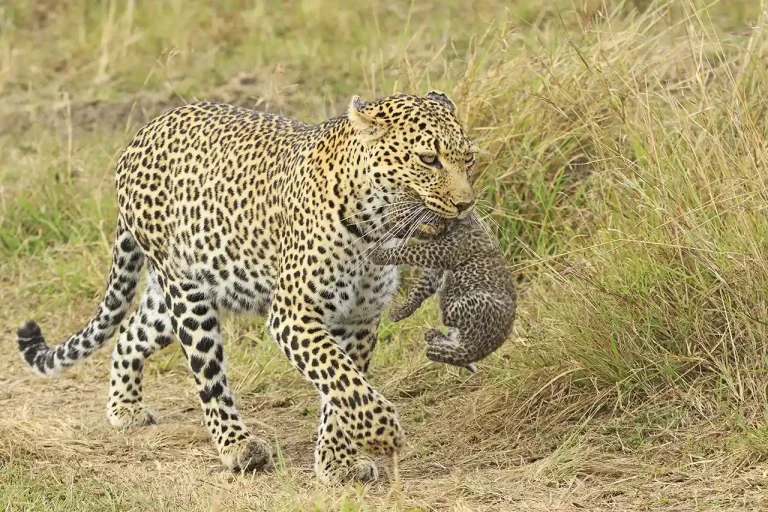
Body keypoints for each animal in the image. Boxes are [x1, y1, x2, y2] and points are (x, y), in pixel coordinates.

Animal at [15, 91, 478, 484]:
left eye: (468, 158)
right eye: (428, 159)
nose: (465, 204)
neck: (376, 227)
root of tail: (140, 136)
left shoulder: (361, 319)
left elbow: (341, 390)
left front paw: (337, 461)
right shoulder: (293, 314)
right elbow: (341, 378)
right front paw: (383, 431)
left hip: (182, 291)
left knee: (129, 333)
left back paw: (124, 408)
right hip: (186, 296)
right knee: (209, 378)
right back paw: (238, 446)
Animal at [370, 214, 516, 373]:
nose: (390, 225)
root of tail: (477, 350)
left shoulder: (443, 250)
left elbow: (409, 251)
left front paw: (378, 254)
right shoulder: (434, 270)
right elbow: (418, 289)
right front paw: (400, 312)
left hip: (478, 302)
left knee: (446, 314)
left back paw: (447, 284)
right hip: (456, 334)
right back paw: (433, 335)